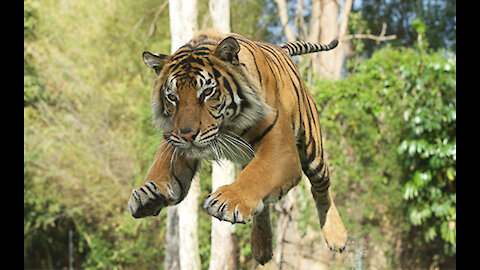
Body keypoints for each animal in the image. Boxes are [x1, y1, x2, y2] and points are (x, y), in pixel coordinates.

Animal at [127, 29, 344, 264]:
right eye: (172, 97)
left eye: (207, 92)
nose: (188, 134)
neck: (227, 127)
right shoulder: (173, 137)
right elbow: (163, 167)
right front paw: (149, 193)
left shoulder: (281, 145)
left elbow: (257, 175)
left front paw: (229, 200)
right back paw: (261, 247)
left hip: (312, 149)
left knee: (320, 188)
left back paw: (336, 236)